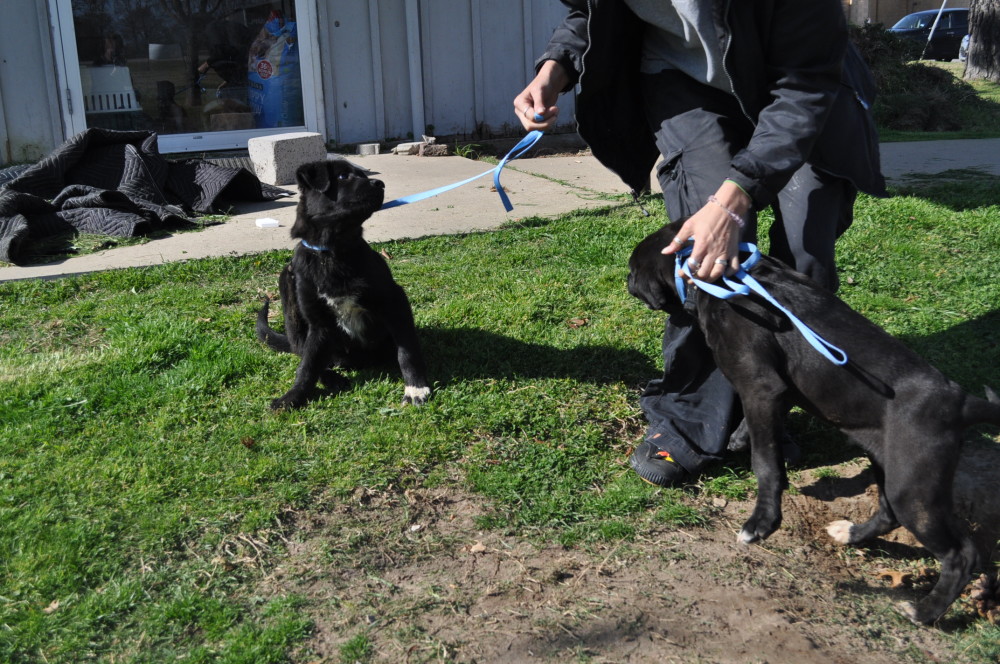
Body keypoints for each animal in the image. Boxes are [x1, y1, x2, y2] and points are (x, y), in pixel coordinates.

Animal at [254, 160, 430, 410]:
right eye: (343, 176)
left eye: (363, 175)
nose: (380, 183)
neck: (332, 252)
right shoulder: (318, 323)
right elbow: (307, 365)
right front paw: (294, 395)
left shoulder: (395, 300)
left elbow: (407, 350)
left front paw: (416, 388)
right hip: (288, 289)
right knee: (301, 350)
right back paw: (332, 378)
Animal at [628, 220, 996, 624]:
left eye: (633, 268)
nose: (626, 280)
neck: (722, 275)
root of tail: (961, 401)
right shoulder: (781, 389)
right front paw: (739, 438)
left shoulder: (760, 385)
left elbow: (766, 462)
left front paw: (762, 522)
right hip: (891, 466)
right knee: (888, 514)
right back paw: (851, 535)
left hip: (914, 486)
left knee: (961, 555)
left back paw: (925, 610)